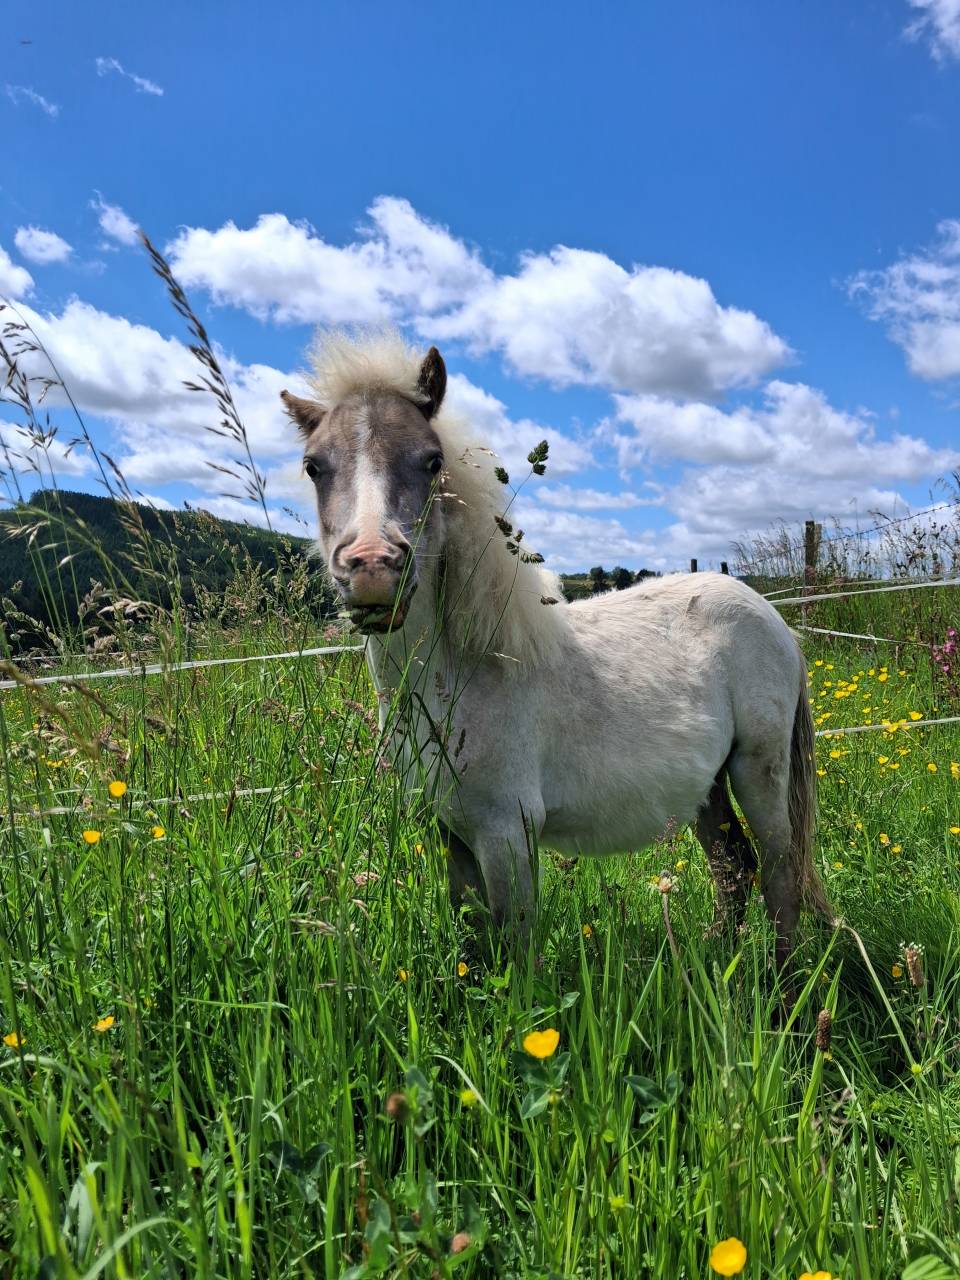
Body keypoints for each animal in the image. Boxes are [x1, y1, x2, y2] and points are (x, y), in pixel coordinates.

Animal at [281, 331, 830, 968]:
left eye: (432, 460)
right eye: (314, 466)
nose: (373, 570)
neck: (457, 682)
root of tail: (770, 616)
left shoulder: (507, 837)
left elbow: (516, 952)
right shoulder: (451, 835)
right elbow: (475, 942)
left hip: (757, 771)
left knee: (778, 872)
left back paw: (781, 985)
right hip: (707, 786)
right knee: (732, 867)